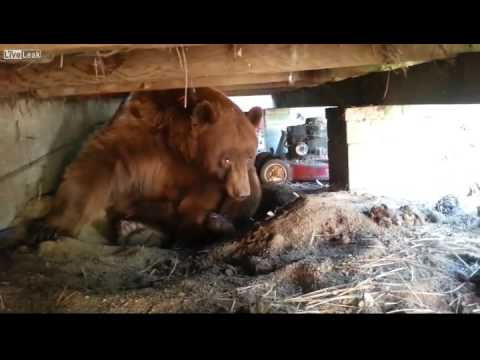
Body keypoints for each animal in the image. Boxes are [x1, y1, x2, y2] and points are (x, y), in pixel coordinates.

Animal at [27, 86, 262, 248]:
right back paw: (134, 229)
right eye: (226, 159)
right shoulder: (138, 132)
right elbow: (95, 166)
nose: (240, 191)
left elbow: (201, 197)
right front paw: (47, 227)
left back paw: (220, 223)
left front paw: (191, 231)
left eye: (250, 156)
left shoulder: (204, 173)